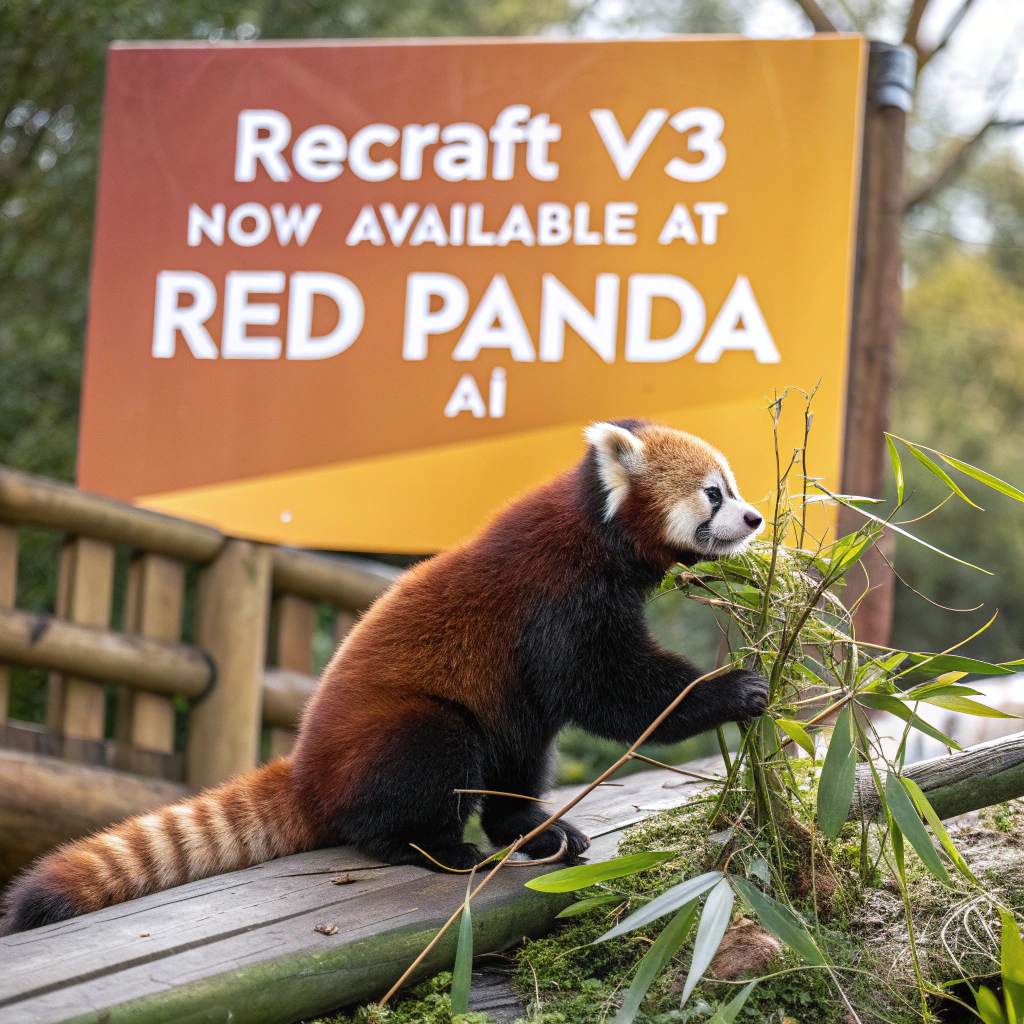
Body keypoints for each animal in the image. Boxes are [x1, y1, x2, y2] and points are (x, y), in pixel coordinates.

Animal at [1, 420, 768, 933]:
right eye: (713, 493)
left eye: (733, 487)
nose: (757, 516)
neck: (596, 529)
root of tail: (307, 768)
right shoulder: (559, 597)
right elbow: (613, 690)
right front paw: (734, 690)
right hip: (405, 730)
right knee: (433, 756)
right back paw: (434, 846)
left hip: (506, 717)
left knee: (521, 751)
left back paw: (534, 829)